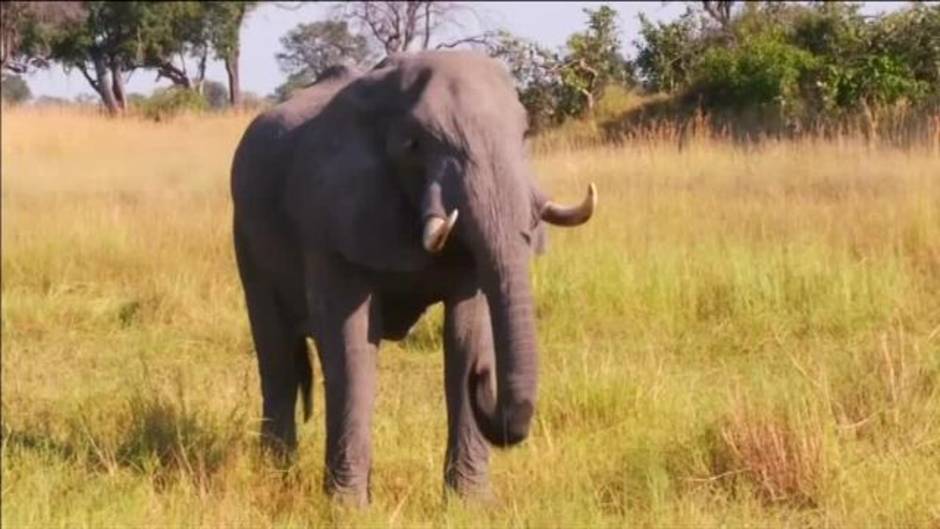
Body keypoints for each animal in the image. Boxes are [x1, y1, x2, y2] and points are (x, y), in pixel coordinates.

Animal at [230, 50, 596, 506]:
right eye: (415, 145)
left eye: (525, 132)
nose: (485, 381)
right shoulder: (331, 215)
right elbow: (351, 345)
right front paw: (347, 508)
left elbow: (468, 333)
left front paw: (471, 505)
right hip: (245, 237)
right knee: (276, 355)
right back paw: (276, 476)